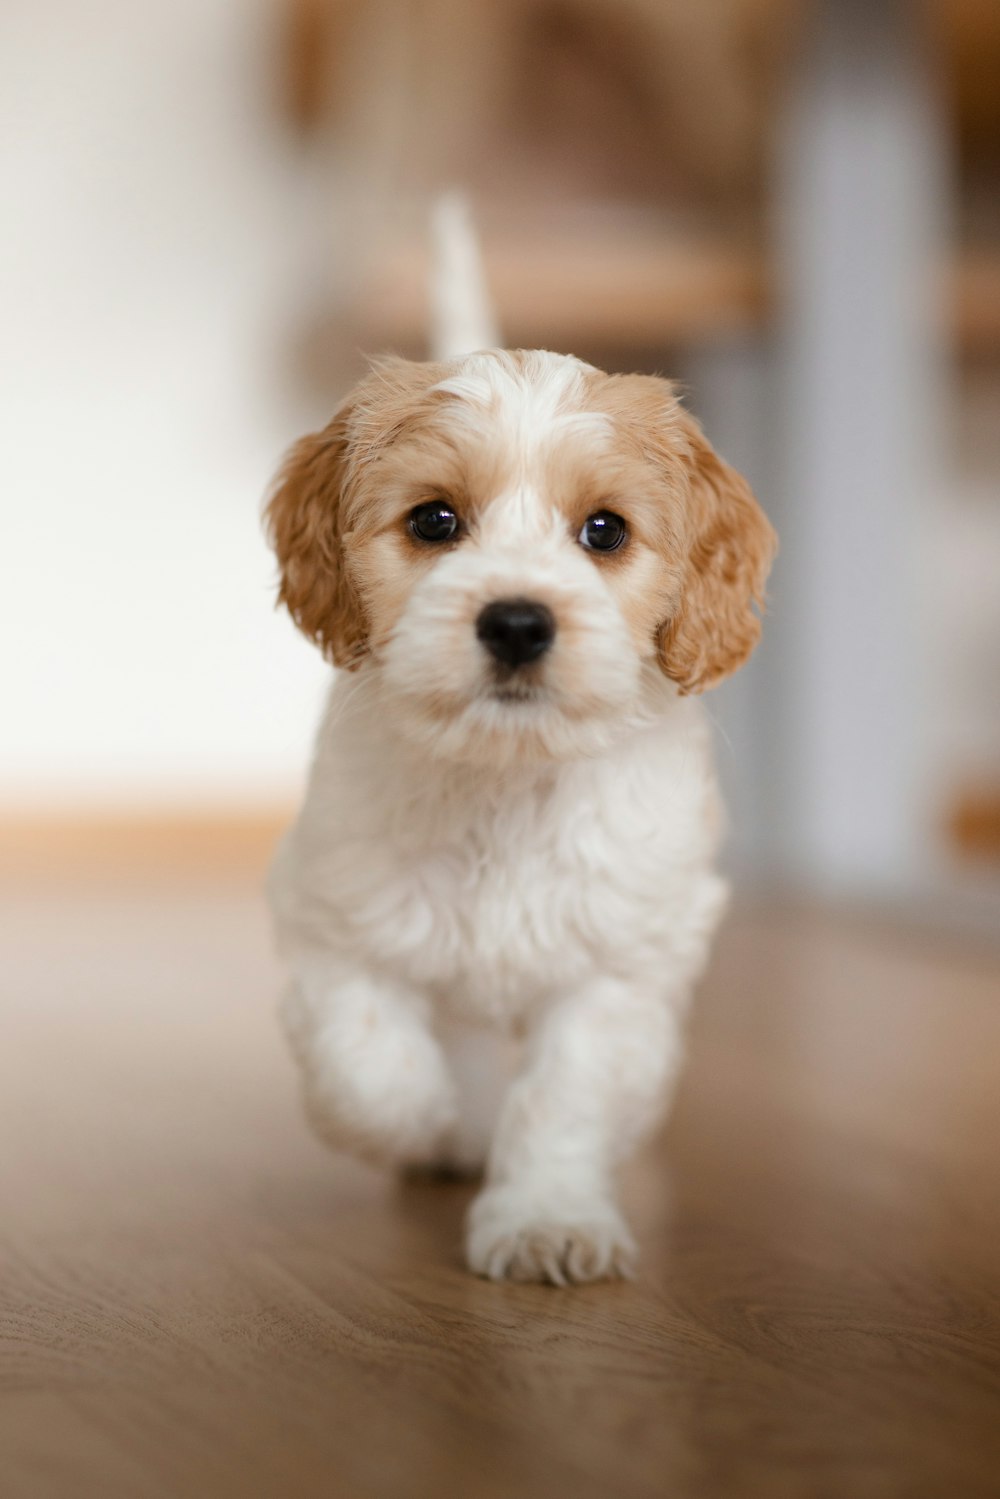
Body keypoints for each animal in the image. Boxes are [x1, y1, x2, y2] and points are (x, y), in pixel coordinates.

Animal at [263, 227, 773, 1283]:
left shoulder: (616, 961)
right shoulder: (333, 915)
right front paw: (438, 1125)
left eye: (605, 530)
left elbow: (565, 1097)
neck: (504, 779)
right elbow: (371, 1064)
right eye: (434, 520)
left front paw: (546, 1217)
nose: (516, 622)